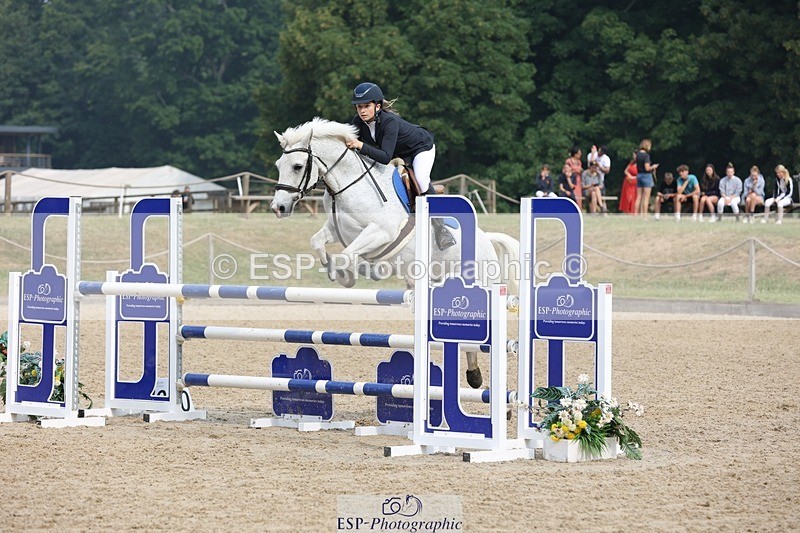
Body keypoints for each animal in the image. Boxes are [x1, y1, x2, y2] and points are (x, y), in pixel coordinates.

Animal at [271, 118, 519, 388]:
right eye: (278, 165)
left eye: (297, 166)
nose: (278, 207)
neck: (350, 186)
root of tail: (487, 240)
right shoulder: (338, 230)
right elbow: (318, 242)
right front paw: (337, 273)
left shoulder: (380, 232)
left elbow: (347, 255)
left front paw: (353, 275)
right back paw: (474, 375)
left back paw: (477, 378)